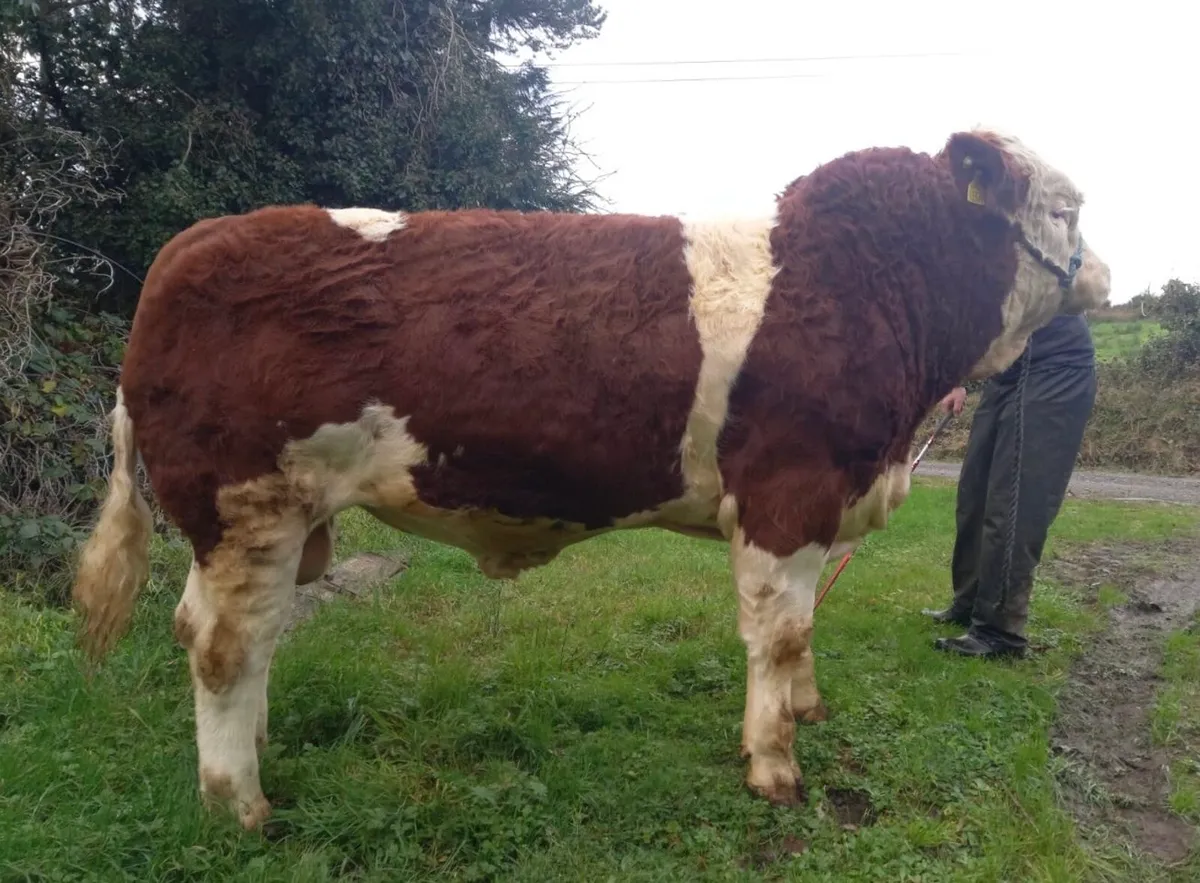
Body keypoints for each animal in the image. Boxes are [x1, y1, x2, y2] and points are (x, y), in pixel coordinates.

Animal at [71, 127, 1111, 830]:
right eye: (1065, 209)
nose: (1101, 275)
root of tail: (188, 246)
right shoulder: (788, 492)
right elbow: (778, 633)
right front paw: (775, 766)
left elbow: (804, 632)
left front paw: (805, 709)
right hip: (249, 506)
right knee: (223, 647)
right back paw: (238, 801)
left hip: (262, 523)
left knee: (224, 635)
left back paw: (253, 749)